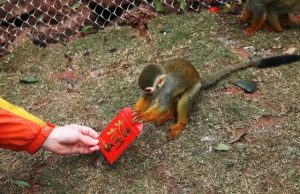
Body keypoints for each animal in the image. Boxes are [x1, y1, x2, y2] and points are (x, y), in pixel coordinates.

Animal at [134, 55, 300, 140]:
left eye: (148, 88)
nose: (149, 93)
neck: (161, 87)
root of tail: (199, 77)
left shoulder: (166, 89)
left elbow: (162, 104)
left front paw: (142, 116)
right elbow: (149, 101)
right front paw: (136, 111)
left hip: (195, 88)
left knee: (184, 99)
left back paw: (180, 124)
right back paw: (168, 115)